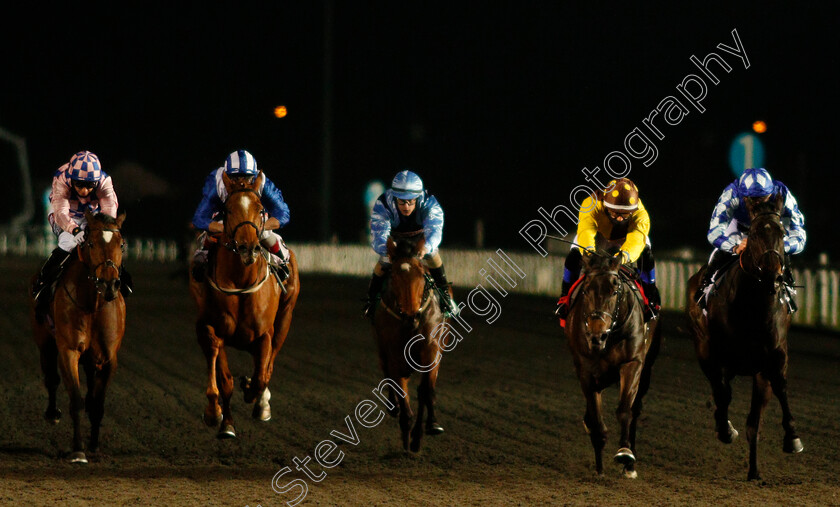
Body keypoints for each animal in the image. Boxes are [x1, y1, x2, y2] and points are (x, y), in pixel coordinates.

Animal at [31, 210, 127, 464]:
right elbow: (75, 399)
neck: (92, 305)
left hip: (92, 360)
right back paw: (52, 413)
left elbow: (97, 404)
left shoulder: (108, 358)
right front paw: (78, 450)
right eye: (90, 243)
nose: (109, 284)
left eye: (121, 244)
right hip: (45, 342)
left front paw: (94, 446)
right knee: (51, 379)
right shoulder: (69, 351)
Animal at [189, 172, 300, 440]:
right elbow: (224, 379)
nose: (248, 247)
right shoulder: (209, 327)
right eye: (228, 210)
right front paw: (220, 418)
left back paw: (262, 402)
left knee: (269, 365)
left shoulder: (265, 334)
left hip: (285, 319)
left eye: (260, 209)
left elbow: (261, 376)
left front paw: (253, 394)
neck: (240, 281)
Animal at [376, 234, 450, 452]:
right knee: (386, 370)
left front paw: (422, 432)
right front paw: (406, 434)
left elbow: (425, 391)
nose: (411, 317)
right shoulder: (394, 353)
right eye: (394, 276)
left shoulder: (431, 350)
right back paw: (393, 407)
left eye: (421, 274)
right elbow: (399, 387)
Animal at [564, 252, 664, 478]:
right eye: (586, 290)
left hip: (647, 367)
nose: (596, 335)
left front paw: (625, 453)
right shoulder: (586, 370)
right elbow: (596, 418)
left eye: (615, 289)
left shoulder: (632, 363)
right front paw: (600, 467)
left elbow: (625, 410)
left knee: (635, 409)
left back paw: (630, 466)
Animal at [684, 193, 804, 480]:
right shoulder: (718, 357)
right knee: (720, 391)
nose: (773, 274)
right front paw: (726, 430)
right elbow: (723, 394)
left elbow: (776, 393)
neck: (754, 306)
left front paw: (791, 438)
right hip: (705, 350)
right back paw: (724, 427)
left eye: (782, 232)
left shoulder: (773, 357)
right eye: (755, 233)